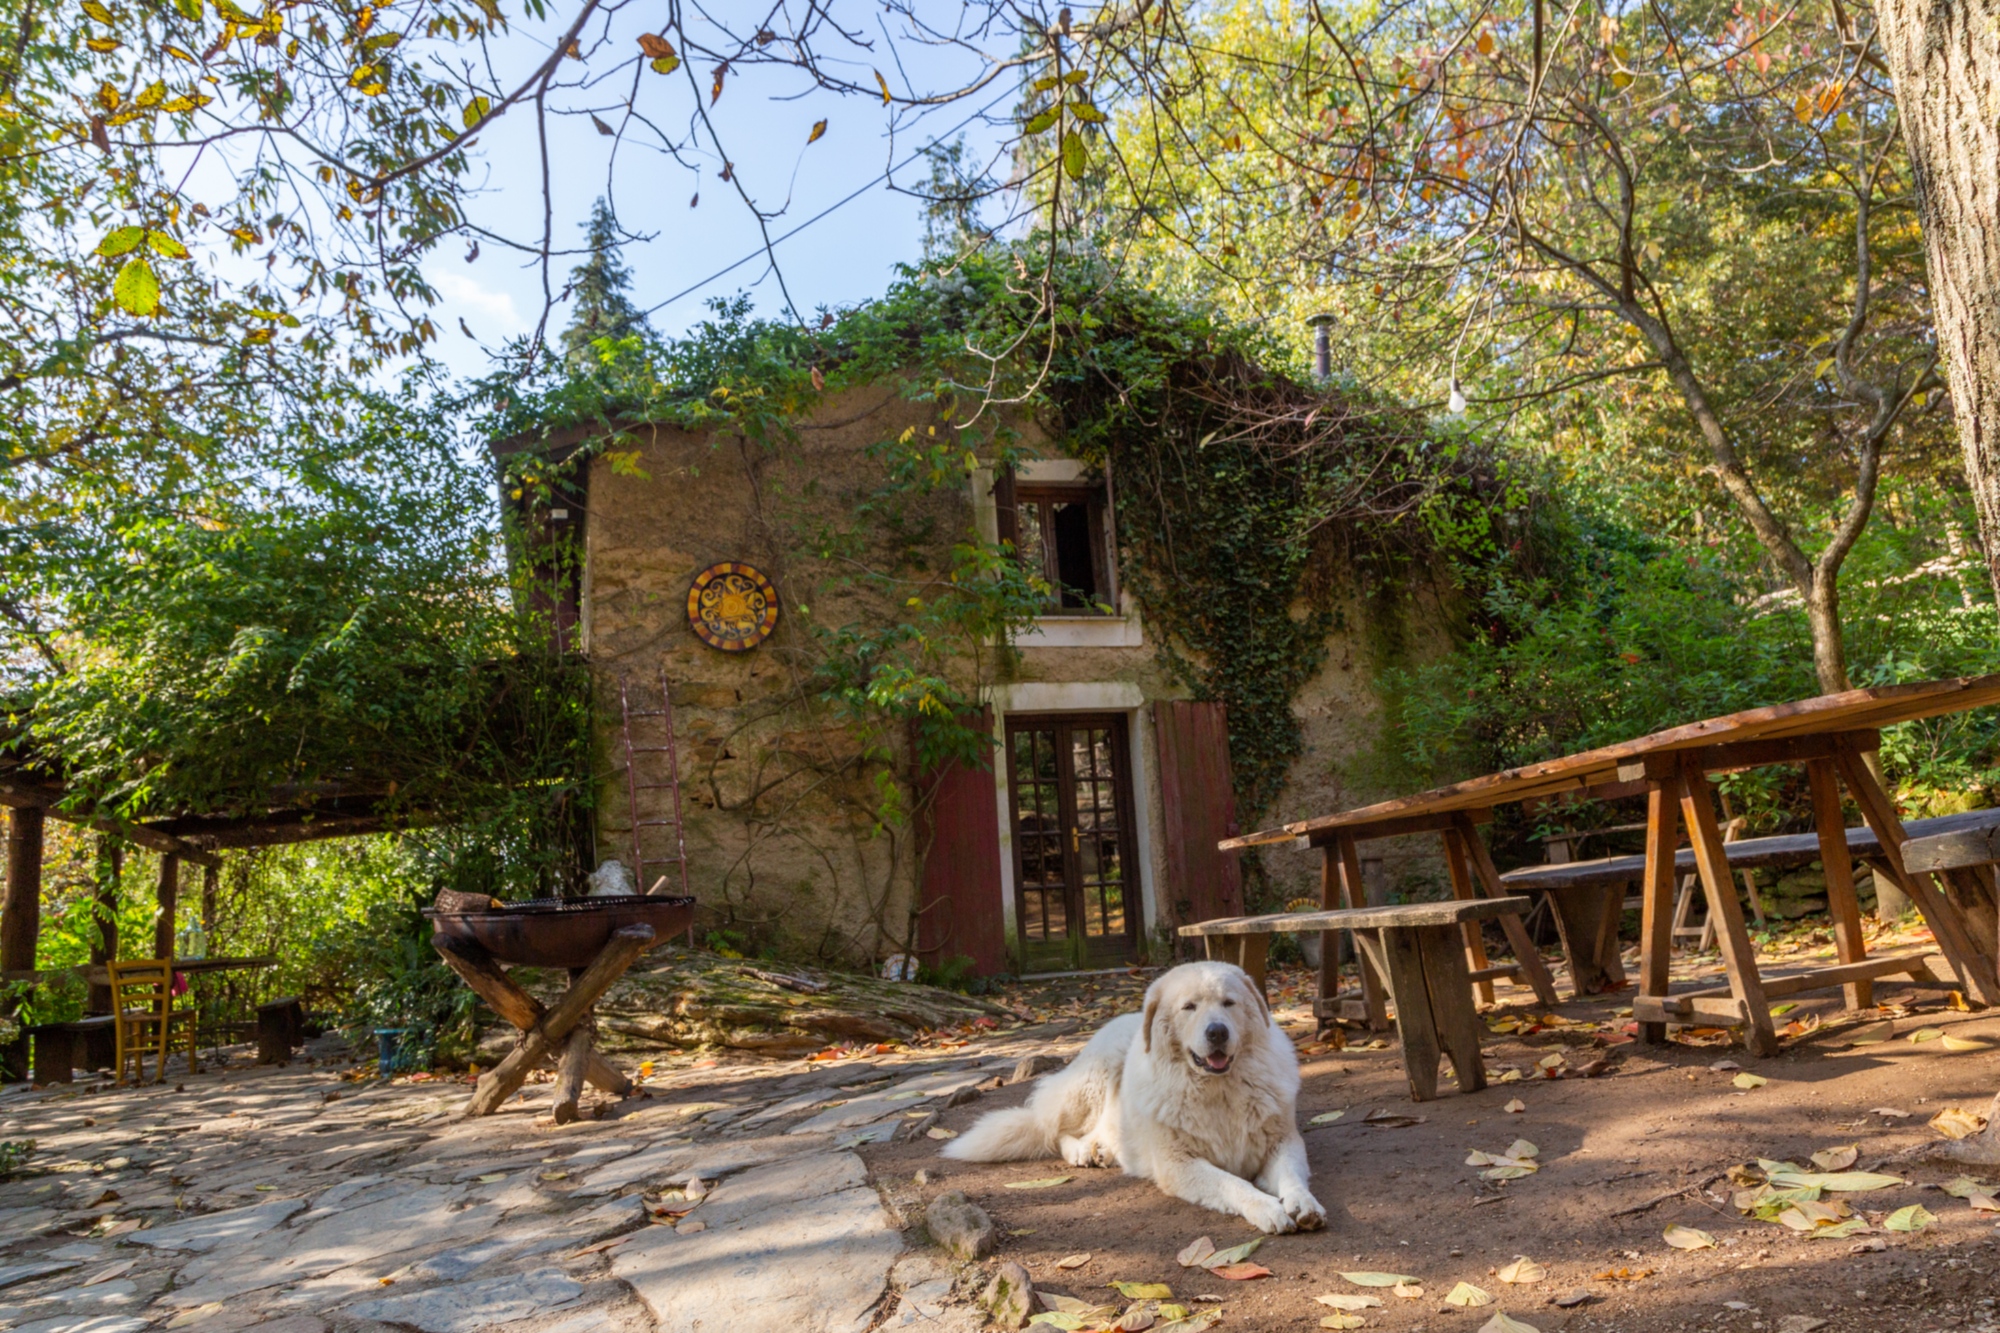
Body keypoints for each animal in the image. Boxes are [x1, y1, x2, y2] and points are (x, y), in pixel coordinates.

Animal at [940, 956, 1320, 1224]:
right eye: (1189, 1007)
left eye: (1229, 1003)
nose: (1217, 1032)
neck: (1218, 1089)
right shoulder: (1177, 1165)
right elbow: (1234, 1183)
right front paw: (1267, 1209)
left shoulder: (1283, 1142)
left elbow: (1291, 1176)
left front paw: (1303, 1203)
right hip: (1095, 1077)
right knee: (1053, 1129)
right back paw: (1082, 1151)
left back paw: (1104, 1150)